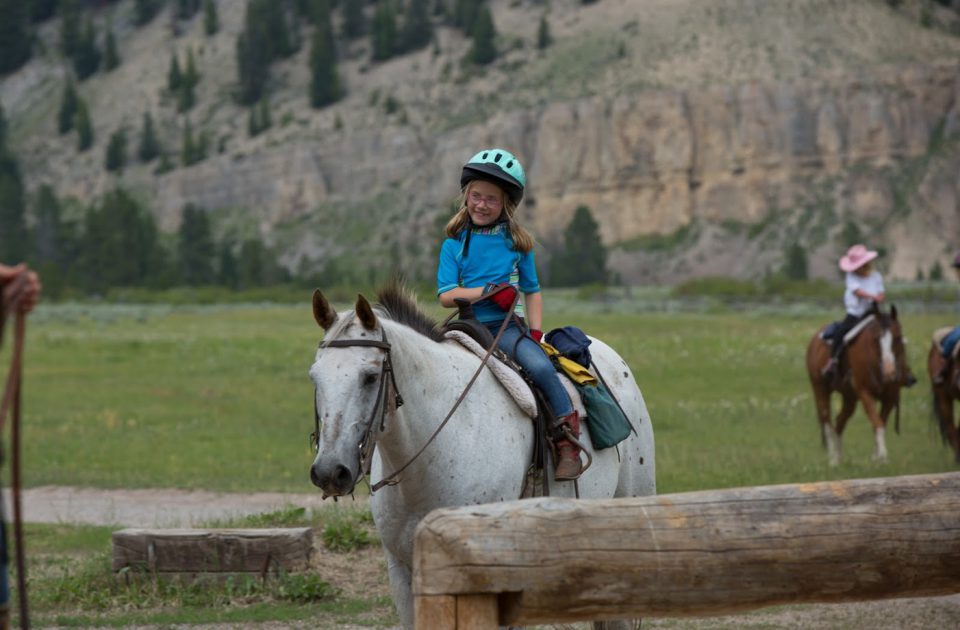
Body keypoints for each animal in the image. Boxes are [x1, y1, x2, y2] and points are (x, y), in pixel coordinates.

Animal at [808, 306, 920, 470]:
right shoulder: (865, 393)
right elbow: (877, 422)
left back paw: (839, 457)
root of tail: (816, 338)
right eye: (876, 339)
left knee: (839, 421)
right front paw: (883, 457)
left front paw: (876, 457)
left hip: (849, 398)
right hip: (820, 389)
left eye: (898, 338)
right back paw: (833, 460)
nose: (889, 371)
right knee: (827, 421)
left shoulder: (890, 397)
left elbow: (879, 423)